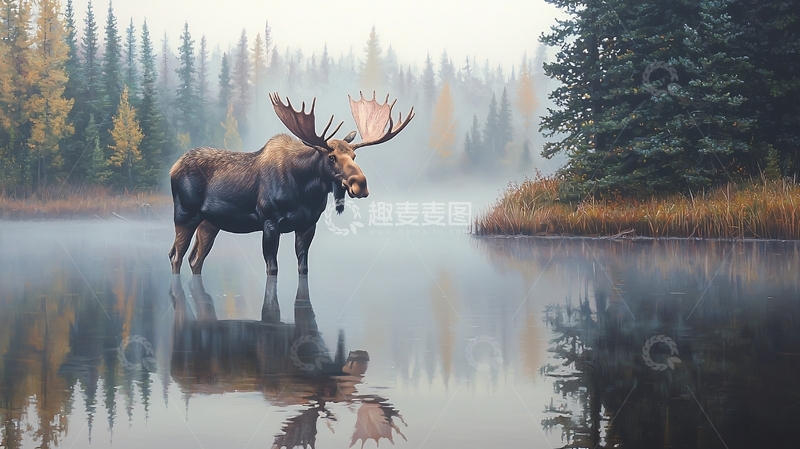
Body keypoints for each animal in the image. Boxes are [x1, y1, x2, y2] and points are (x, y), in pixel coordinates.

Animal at [168, 92, 414, 275]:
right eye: (331, 157)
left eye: (354, 156)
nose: (360, 184)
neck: (305, 192)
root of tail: (173, 167)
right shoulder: (269, 221)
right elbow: (272, 268)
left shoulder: (308, 224)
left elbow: (303, 267)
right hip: (185, 214)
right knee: (176, 255)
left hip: (210, 222)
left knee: (196, 258)